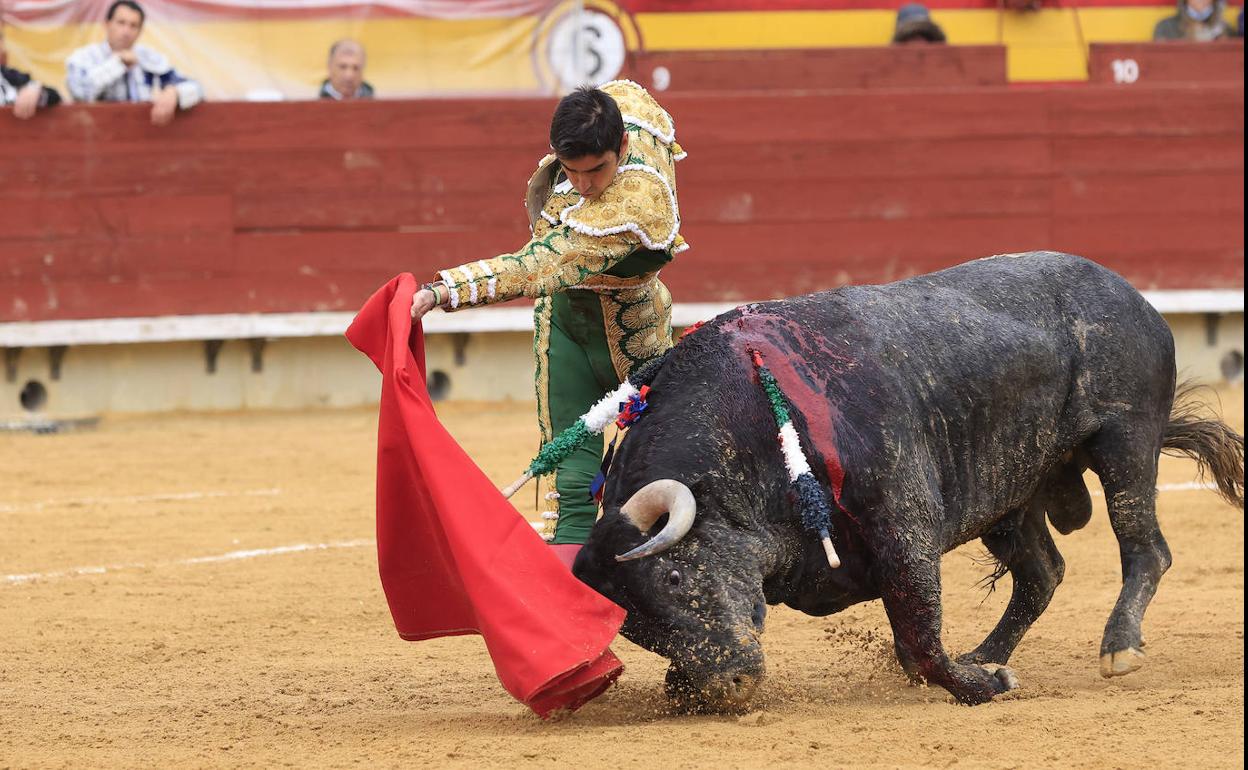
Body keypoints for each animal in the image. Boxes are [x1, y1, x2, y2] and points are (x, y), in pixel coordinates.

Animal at [571, 252, 1243, 708]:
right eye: (636, 628)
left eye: (674, 576)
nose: (729, 683)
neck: (755, 425)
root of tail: (1131, 295)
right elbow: (913, 637)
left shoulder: (903, 523)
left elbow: (919, 632)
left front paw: (975, 685)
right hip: (1011, 491)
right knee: (1042, 573)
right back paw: (988, 656)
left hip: (1125, 443)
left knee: (1144, 547)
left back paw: (1117, 647)